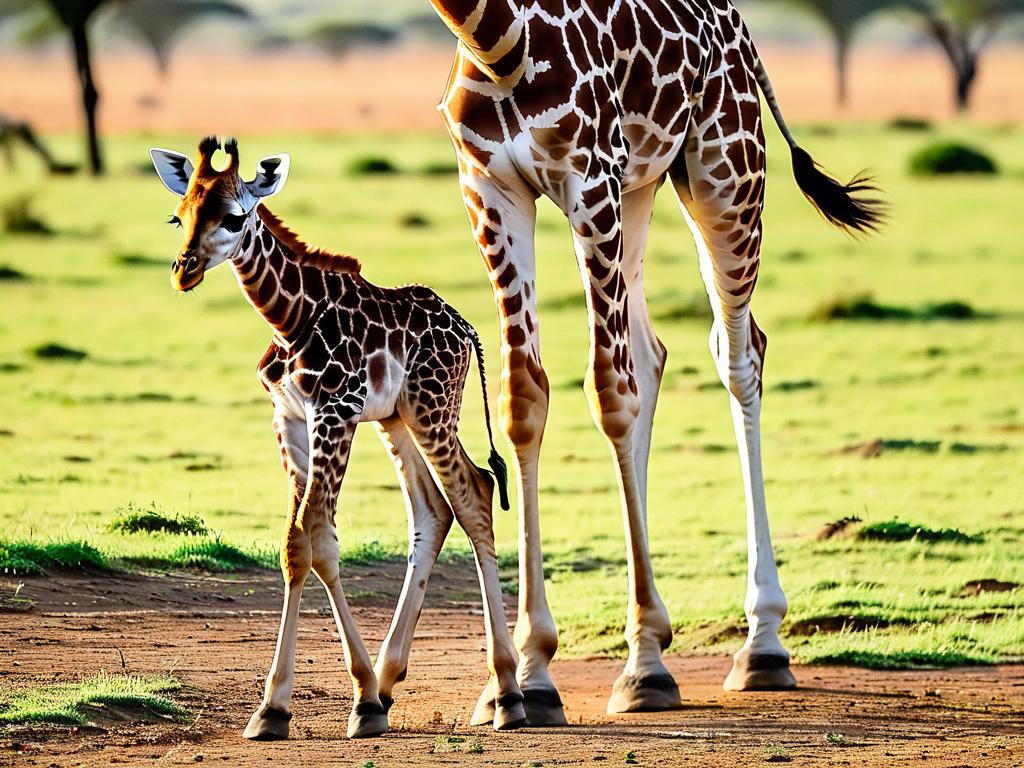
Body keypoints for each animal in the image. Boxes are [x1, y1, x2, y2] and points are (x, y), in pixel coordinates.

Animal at [151, 138, 528, 741]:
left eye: (235, 216)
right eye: (178, 214)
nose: (183, 271)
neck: (290, 319)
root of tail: (467, 329)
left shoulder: (335, 414)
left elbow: (320, 541)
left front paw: (359, 702)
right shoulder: (289, 419)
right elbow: (294, 544)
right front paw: (274, 708)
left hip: (431, 410)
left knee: (473, 494)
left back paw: (507, 694)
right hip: (395, 418)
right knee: (433, 510)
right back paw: (395, 678)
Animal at [423, 0, 880, 729]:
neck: (493, 36)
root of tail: (739, 26)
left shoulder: (589, 179)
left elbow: (611, 395)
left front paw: (642, 667)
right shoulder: (490, 186)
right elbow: (525, 401)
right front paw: (524, 676)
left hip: (723, 171)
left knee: (738, 353)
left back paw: (760, 644)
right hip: (641, 188)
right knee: (651, 353)